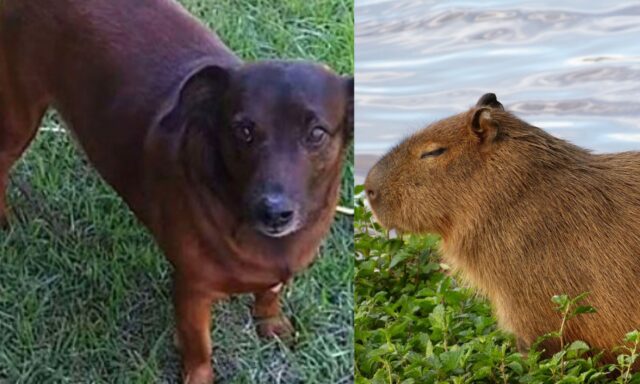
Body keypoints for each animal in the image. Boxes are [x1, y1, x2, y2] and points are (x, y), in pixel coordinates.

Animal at [0, 1, 352, 382]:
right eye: (243, 130)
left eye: (316, 134)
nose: (273, 211)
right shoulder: (192, 291)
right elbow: (199, 347)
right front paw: (199, 376)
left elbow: (270, 293)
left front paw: (271, 322)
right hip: (19, 120)